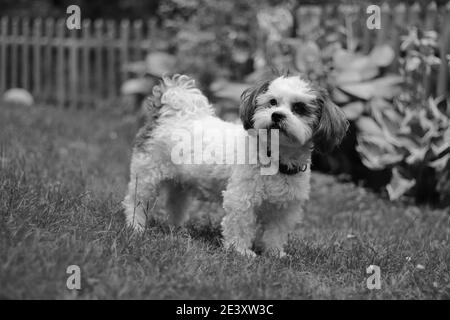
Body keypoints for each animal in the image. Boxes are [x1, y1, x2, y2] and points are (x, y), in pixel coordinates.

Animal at [122, 74, 348, 256]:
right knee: (136, 202)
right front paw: (241, 252)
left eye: (299, 108)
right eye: (272, 102)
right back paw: (136, 227)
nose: (277, 115)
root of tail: (172, 114)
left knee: (175, 204)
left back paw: (176, 229)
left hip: (181, 184)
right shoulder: (241, 199)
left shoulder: (285, 208)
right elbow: (240, 226)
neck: (275, 159)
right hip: (146, 176)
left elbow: (275, 233)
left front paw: (275, 253)